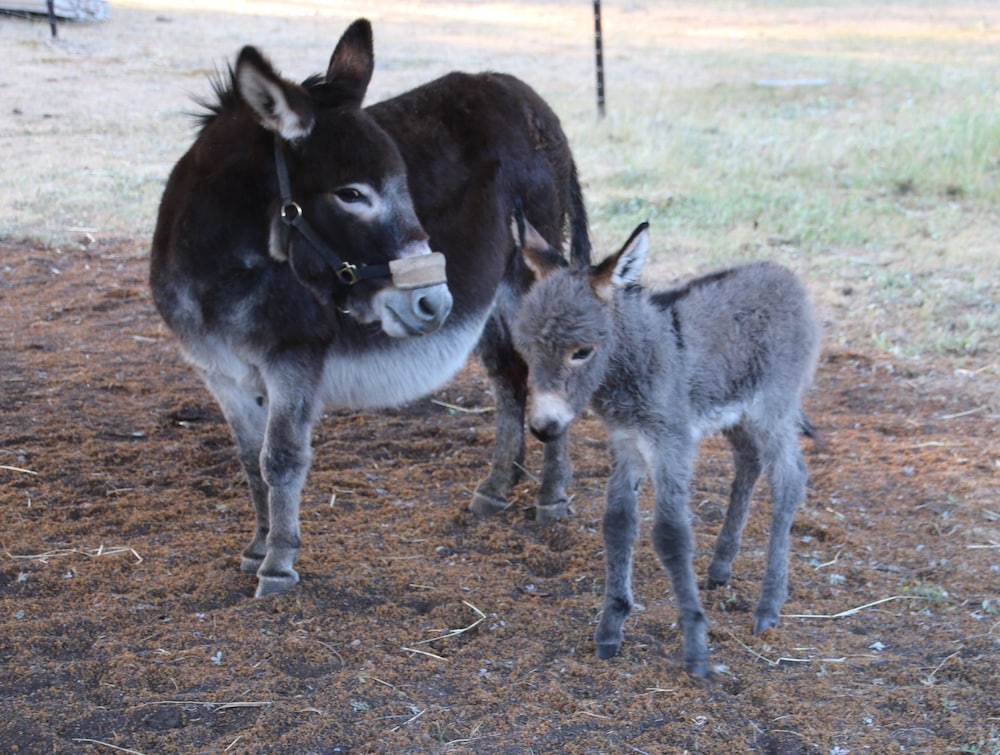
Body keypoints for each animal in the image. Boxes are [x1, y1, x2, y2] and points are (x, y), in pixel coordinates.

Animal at [516, 220, 820, 680]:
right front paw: (611, 627)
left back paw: (769, 605)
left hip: (772, 409)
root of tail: (784, 275)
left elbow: (671, 535)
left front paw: (695, 645)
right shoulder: (626, 442)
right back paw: (721, 566)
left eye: (581, 352)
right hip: (737, 414)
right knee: (748, 461)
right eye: (528, 349)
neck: (634, 359)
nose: (543, 428)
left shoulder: (670, 444)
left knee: (789, 479)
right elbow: (618, 524)